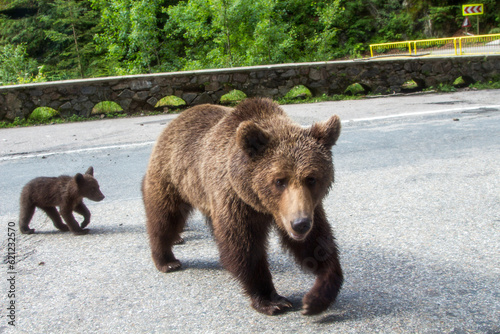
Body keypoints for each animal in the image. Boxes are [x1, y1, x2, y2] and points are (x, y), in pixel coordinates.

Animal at [143, 97, 342, 316]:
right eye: (279, 181)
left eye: (311, 178)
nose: (300, 224)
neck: (261, 204)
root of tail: (176, 119)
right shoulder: (236, 200)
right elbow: (243, 246)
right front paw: (272, 299)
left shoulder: (304, 206)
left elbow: (317, 243)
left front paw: (316, 298)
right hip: (173, 177)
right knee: (165, 217)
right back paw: (166, 260)